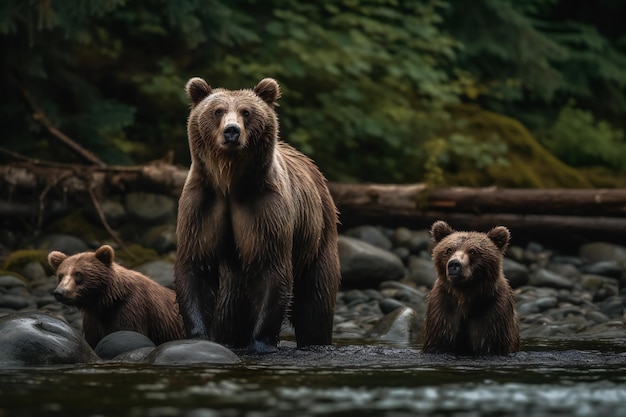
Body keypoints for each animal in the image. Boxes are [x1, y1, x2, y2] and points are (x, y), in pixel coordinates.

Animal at [173, 76, 342, 352]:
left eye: (246, 112)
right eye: (217, 111)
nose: (232, 131)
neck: (230, 182)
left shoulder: (264, 208)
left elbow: (271, 266)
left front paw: (261, 342)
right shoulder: (202, 204)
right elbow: (196, 264)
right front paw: (199, 336)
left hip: (318, 236)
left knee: (315, 303)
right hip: (235, 279)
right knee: (230, 310)